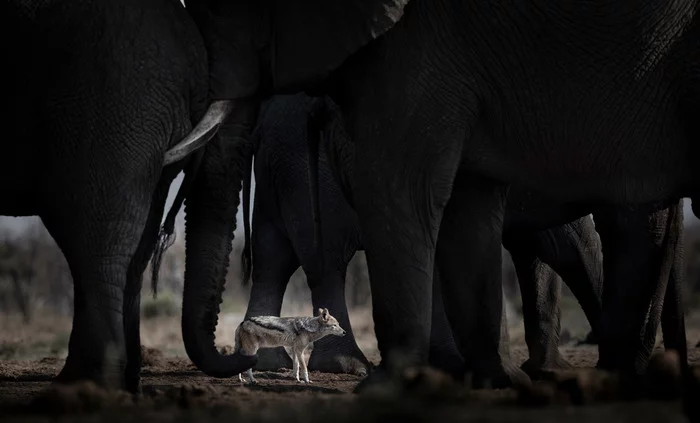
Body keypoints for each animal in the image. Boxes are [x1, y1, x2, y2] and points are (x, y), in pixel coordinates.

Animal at [178, 0, 696, 388]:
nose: (677, 364)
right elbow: (579, 242)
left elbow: (544, 249)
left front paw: (545, 372)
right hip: (301, 166)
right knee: (325, 257)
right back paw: (348, 368)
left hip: (279, 167)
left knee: (274, 253)